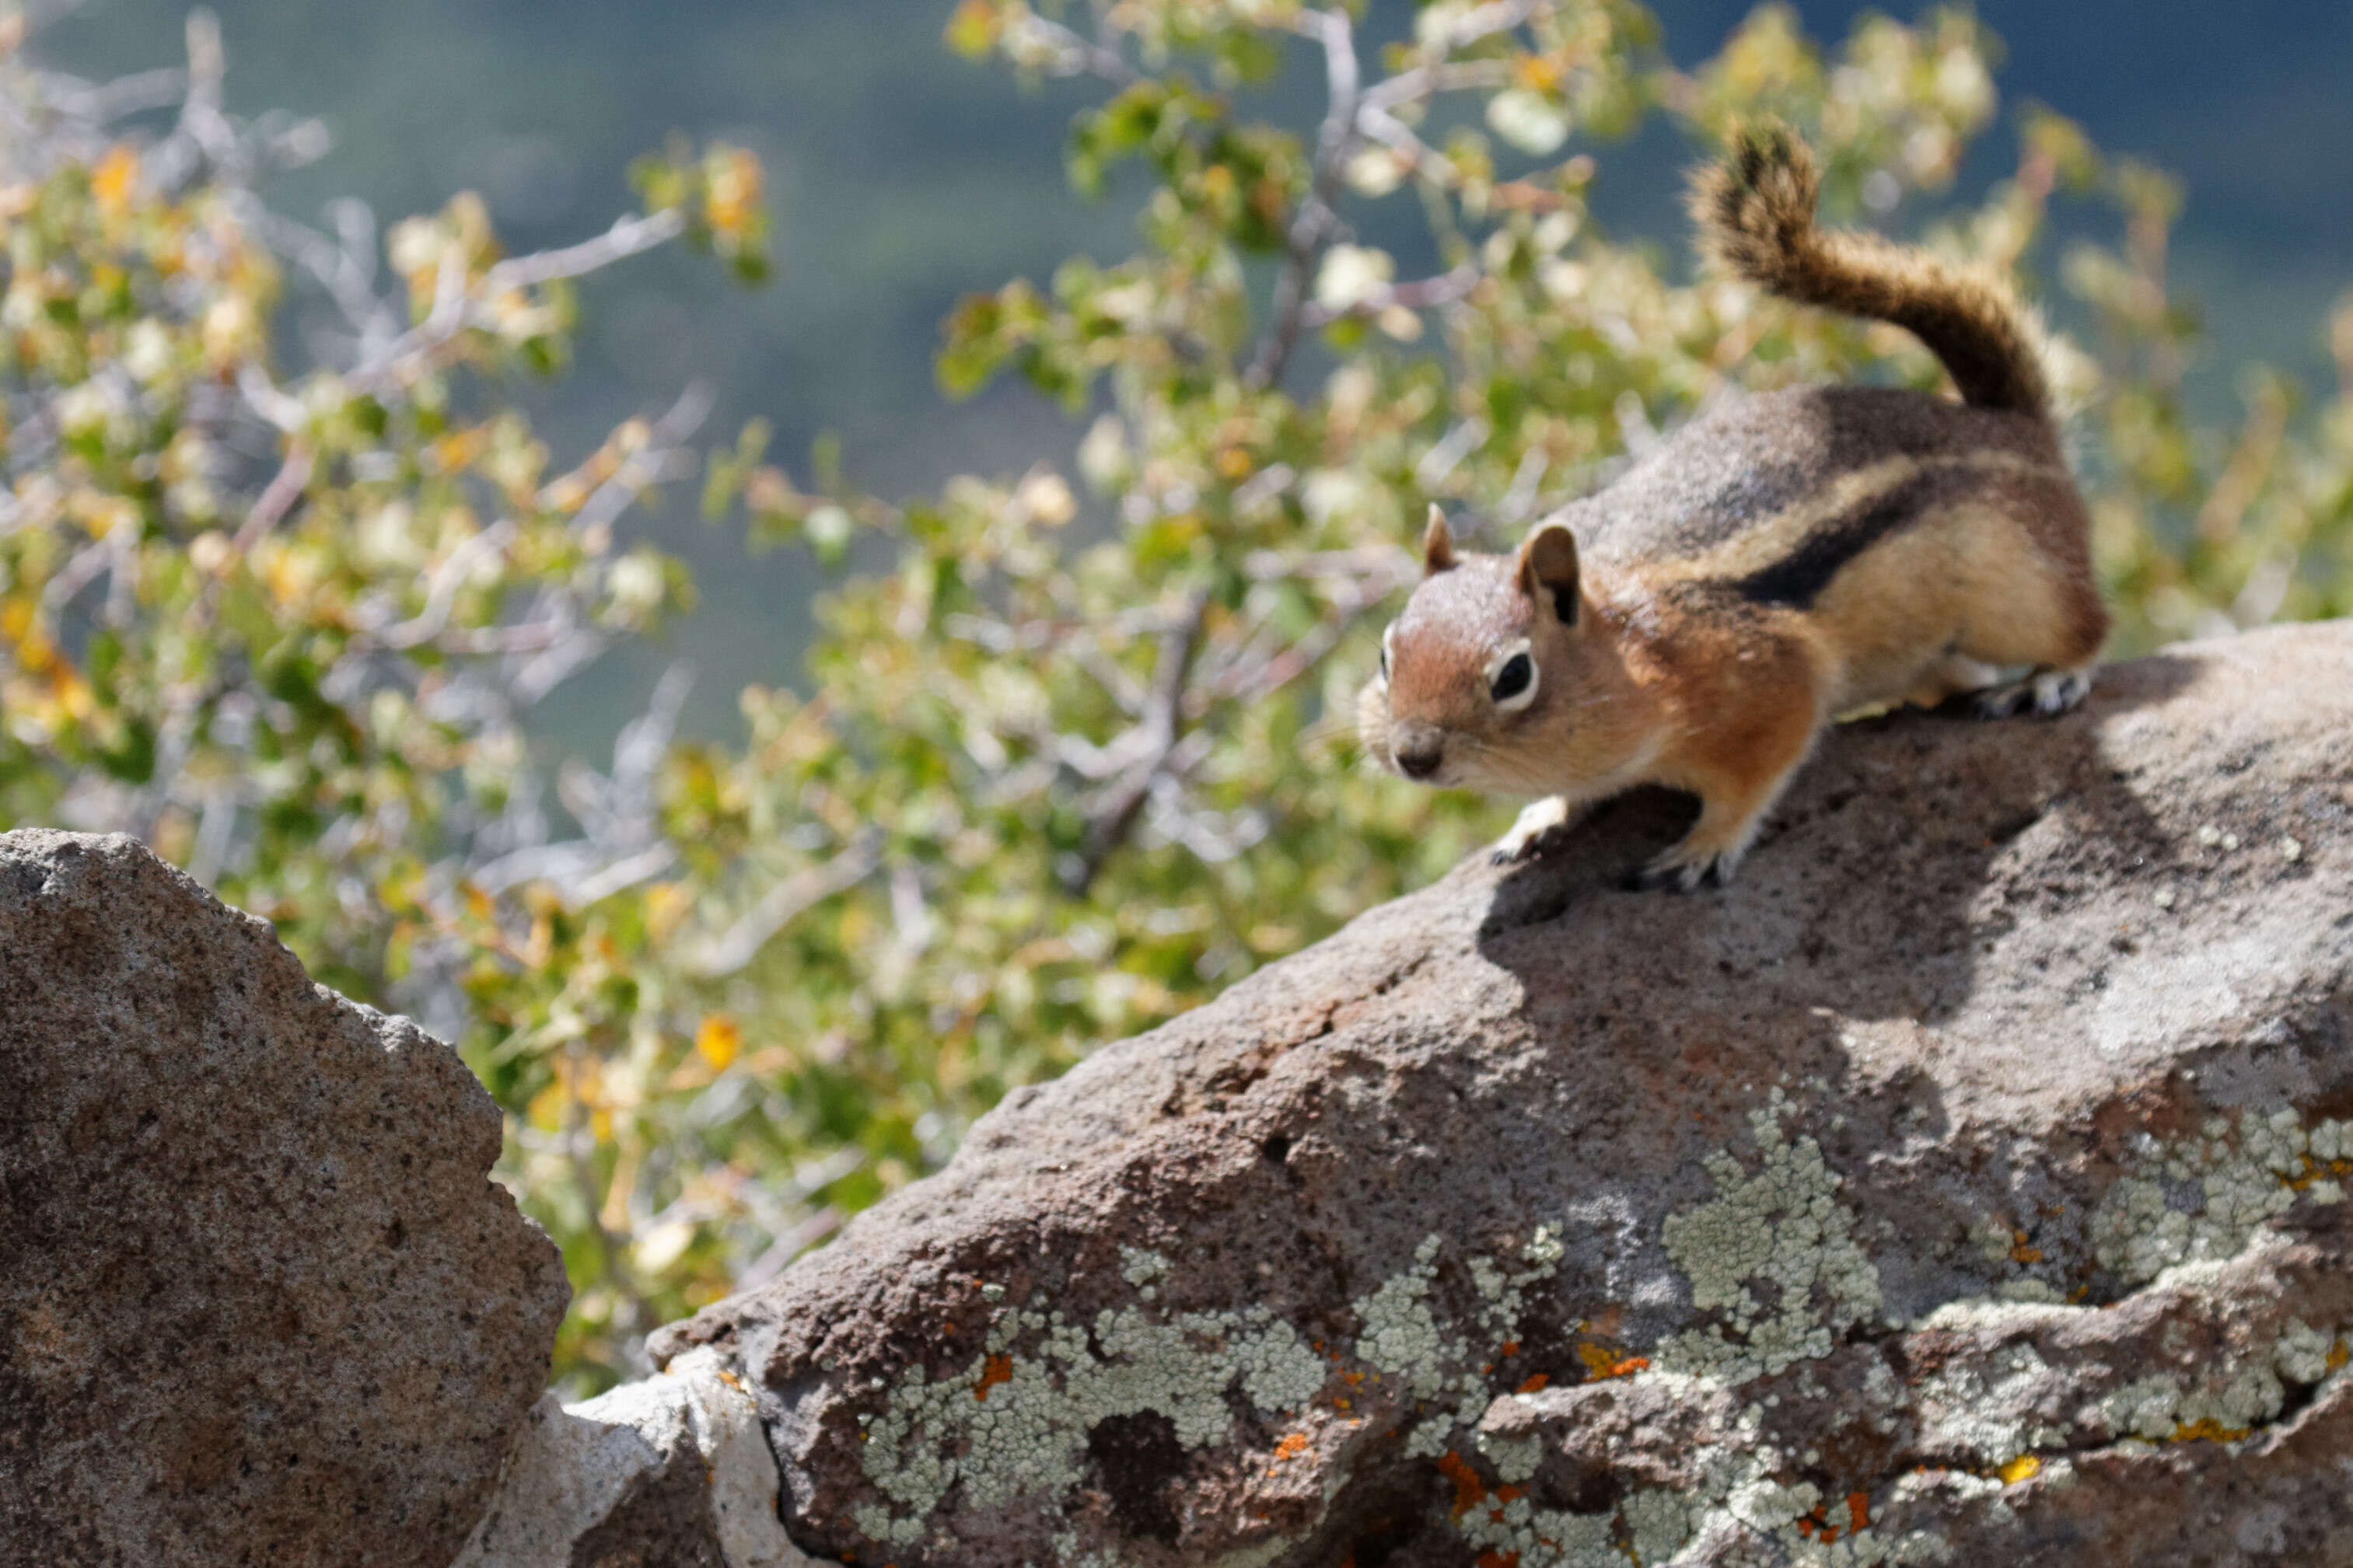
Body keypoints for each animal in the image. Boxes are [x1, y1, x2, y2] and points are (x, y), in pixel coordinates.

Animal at [1365, 124, 2117, 889]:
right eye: (1386, 656)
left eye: (1514, 675)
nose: (1414, 754)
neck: (1629, 650)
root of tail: (2011, 424)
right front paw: (1539, 816)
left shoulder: (1769, 680)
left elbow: (1755, 779)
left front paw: (1703, 846)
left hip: (2019, 589)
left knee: (2085, 629)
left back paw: (2048, 680)